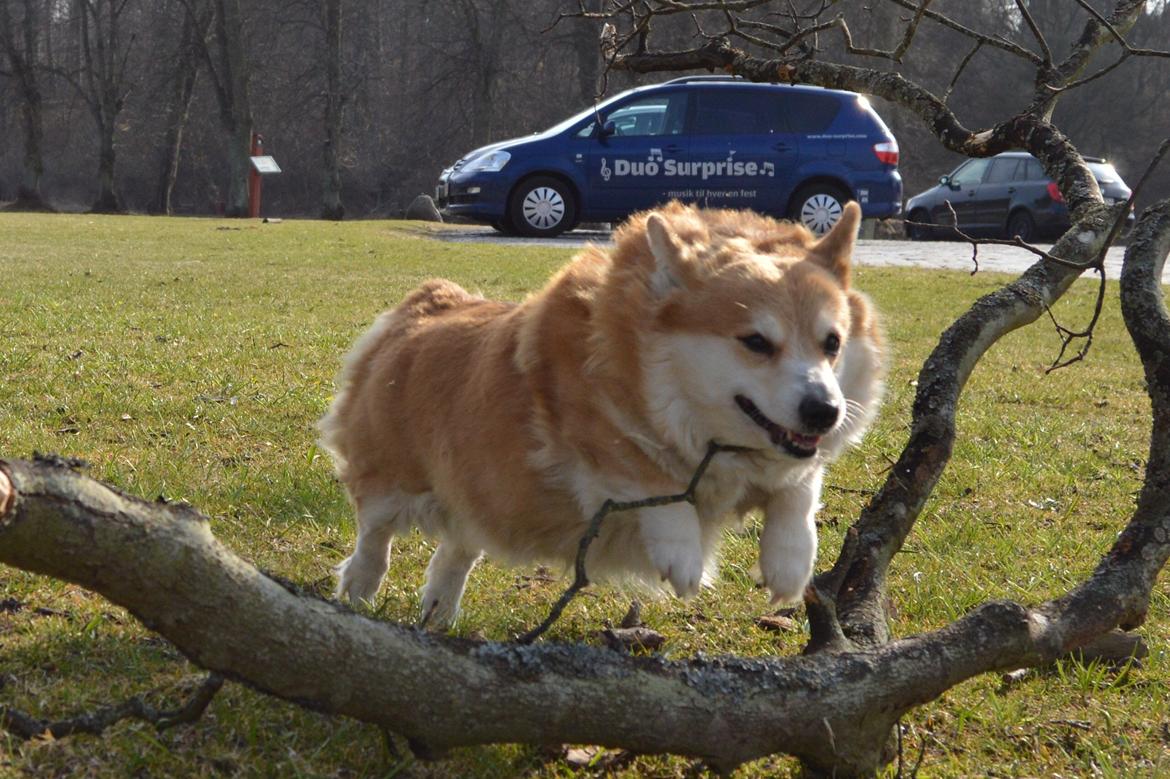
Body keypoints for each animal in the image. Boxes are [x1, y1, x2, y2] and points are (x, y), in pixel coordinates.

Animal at [320, 198, 884, 626]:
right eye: (756, 342)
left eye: (832, 343)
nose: (824, 412)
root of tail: (428, 304)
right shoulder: (591, 434)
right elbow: (650, 476)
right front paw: (684, 557)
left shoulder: (799, 458)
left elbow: (799, 489)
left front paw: (790, 563)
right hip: (392, 480)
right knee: (374, 539)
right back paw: (358, 592)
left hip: (480, 493)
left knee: (458, 548)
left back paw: (439, 608)